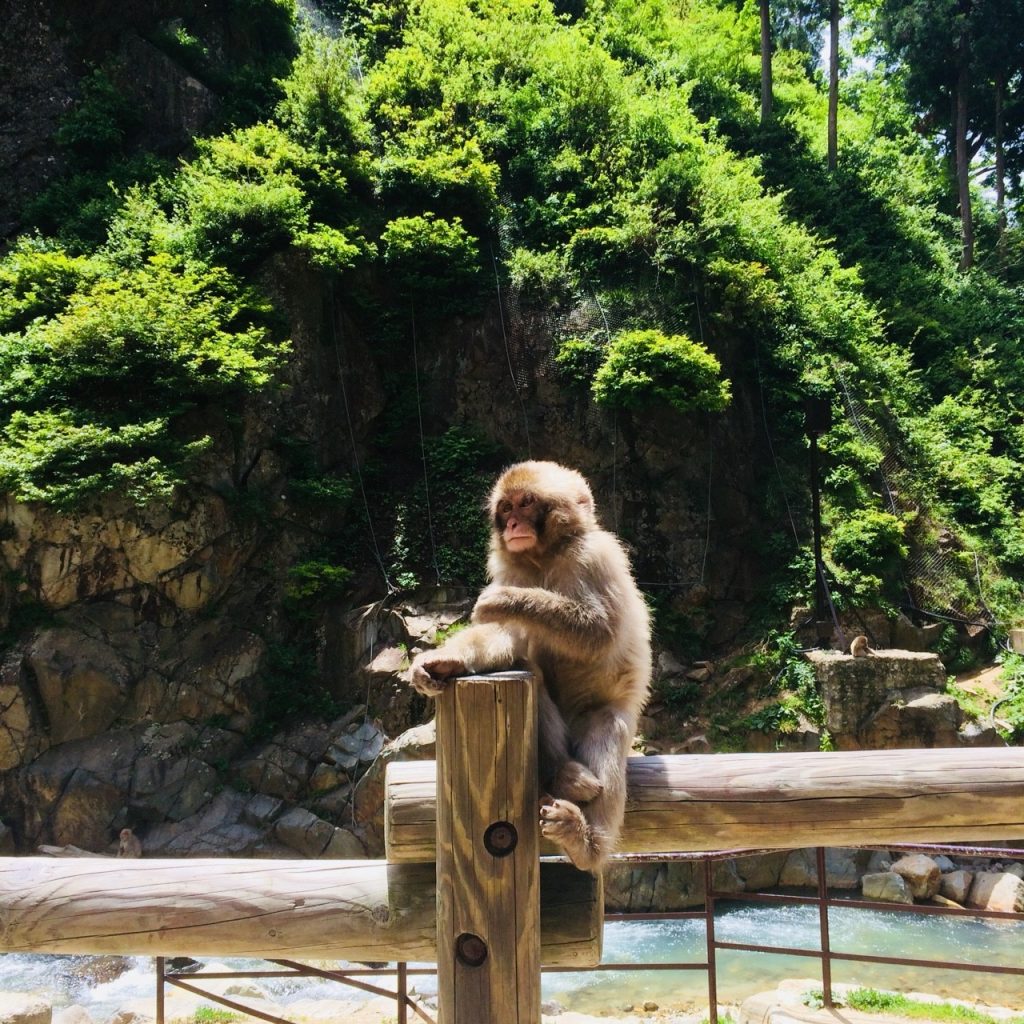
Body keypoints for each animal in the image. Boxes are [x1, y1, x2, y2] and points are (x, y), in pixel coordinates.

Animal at [409, 460, 651, 872]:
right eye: (506, 507)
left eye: (526, 503)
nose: (511, 524)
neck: (546, 556)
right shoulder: (512, 568)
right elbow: (506, 636)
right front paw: (443, 661)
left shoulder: (595, 557)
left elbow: (599, 632)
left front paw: (505, 600)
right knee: (531, 676)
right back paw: (564, 775)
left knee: (605, 721)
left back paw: (585, 843)